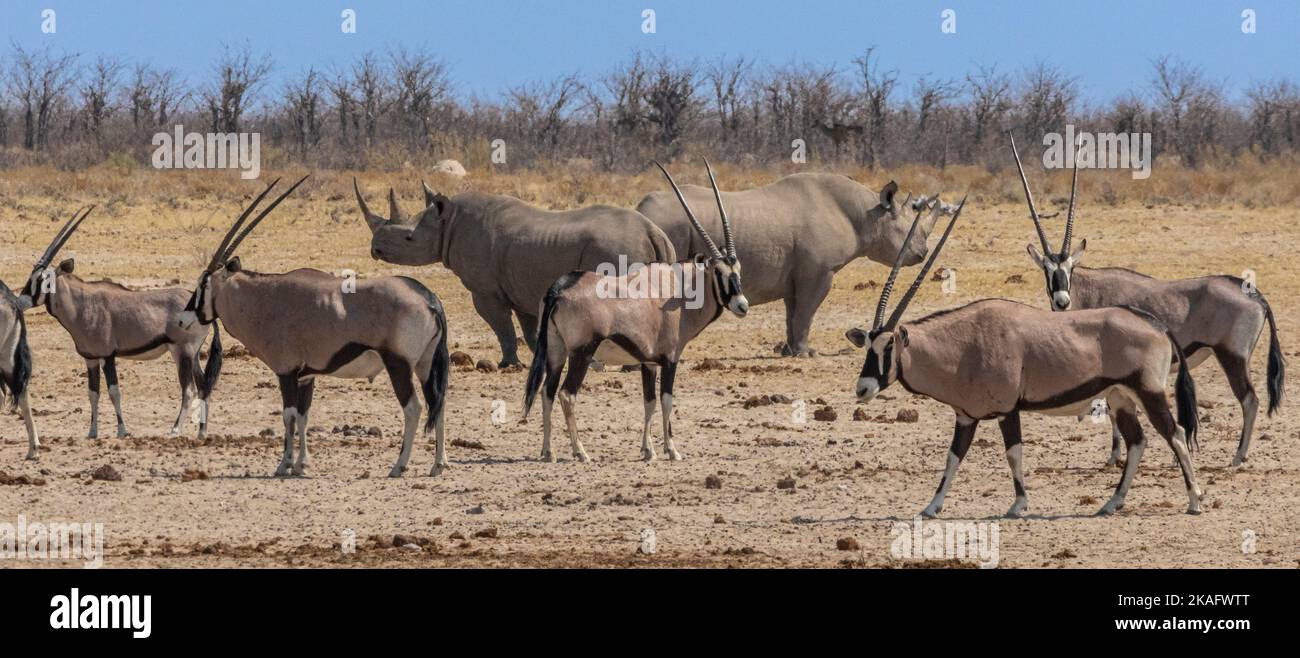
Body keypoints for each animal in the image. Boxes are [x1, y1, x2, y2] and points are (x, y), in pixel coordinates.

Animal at [24, 208, 223, 439]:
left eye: (43, 280)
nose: (21, 299)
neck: (82, 304)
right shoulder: (90, 359)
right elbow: (93, 393)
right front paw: (92, 432)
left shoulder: (107, 356)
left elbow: (114, 391)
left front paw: (122, 430)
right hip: (191, 354)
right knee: (203, 385)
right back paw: (202, 432)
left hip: (183, 351)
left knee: (188, 389)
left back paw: (175, 430)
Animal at [179, 178, 452, 478]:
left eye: (203, 284)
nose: (183, 320)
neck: (265, 298)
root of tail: (429, 299)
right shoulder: (305, 376)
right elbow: (303, 416)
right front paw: (302, 464)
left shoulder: (286, 371)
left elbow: (288, 415)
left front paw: (284, 464)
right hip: (425, 364)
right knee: (437, 403)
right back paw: (438, 464)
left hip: (399, 364)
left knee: (414, 407)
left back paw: (399, 465)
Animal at [525, 160, 754, 462]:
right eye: (718, 272)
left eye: (737, 269)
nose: (742, 305)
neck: (679, 291)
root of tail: (559, 288)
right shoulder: (670, 359)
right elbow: (666, 401)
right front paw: (672, 450)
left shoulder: (648, 362)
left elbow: (649, 402)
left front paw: (648, 450)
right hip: (581, 353)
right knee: (566, 394)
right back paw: (581, 452)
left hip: (556, 352)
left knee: (547, 393)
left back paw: (547, 451)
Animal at [847, 196, 1201, 520]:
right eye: (867, 346)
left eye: (888, 347)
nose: (863, 389)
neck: (964, 344)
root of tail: (1156, 325)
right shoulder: (966, 416)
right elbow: (953, 458)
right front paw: (931, 507)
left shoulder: (1007, 409)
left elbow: (1013, 454)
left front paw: (1018, 505)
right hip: (1119, 397)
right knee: (1137, 441)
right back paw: (1112, 503)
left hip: (1148, 391)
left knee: (1175, 434)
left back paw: (1194, 500)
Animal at [1008, 131, 1284, 465]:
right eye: (1048, 270)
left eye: (1070, 268)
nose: (1062, 301)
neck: (1088, 289)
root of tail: (1254, 293)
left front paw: (1114, 456)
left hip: (1232, 356)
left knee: (1250, 399)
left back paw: (1237, 456)